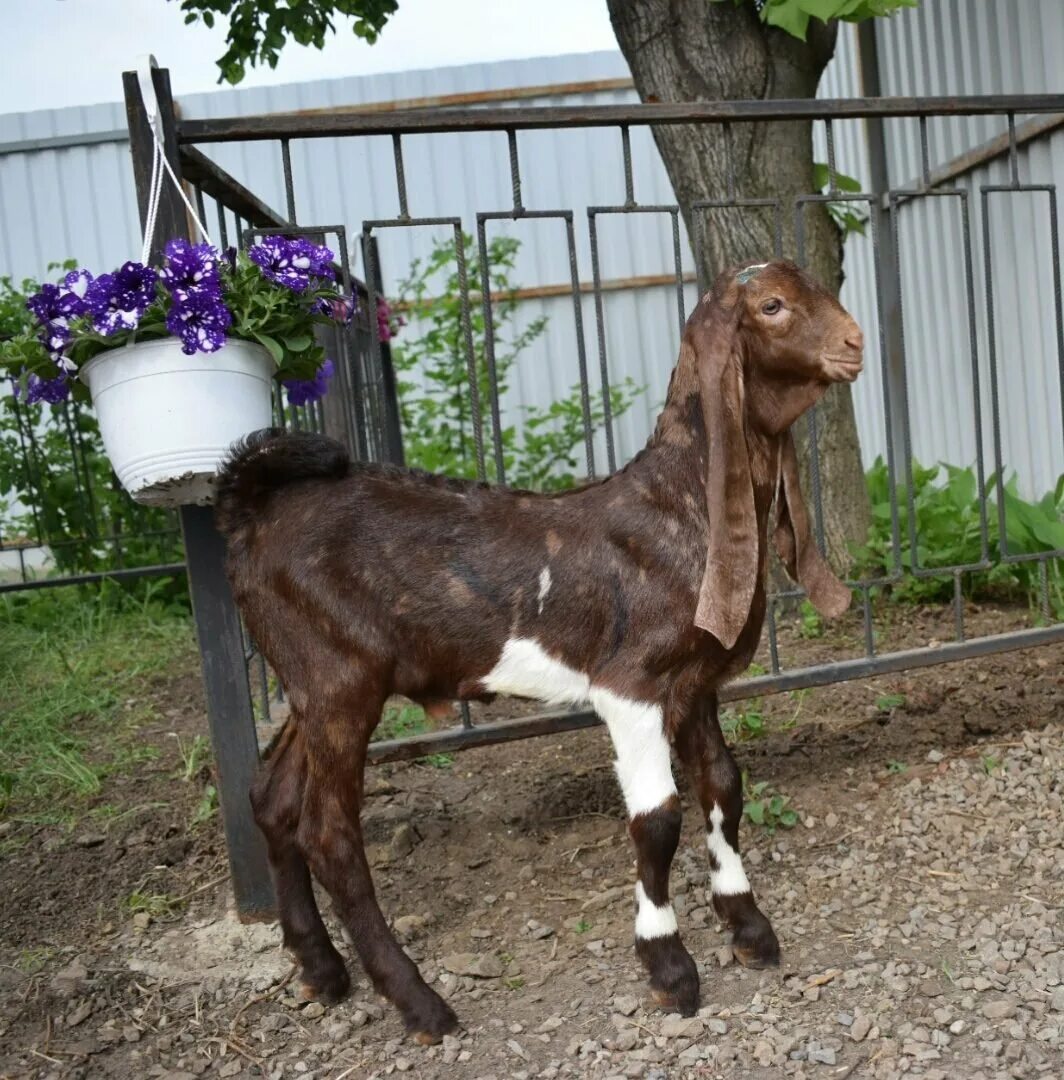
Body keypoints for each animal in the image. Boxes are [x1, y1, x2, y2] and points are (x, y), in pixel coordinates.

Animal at [213, 257, 864, 1041]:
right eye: (770, 306)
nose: (854, 343)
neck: (678, 505)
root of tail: (250, 512)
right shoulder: (630, 684)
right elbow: (657, 818)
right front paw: (668, 967)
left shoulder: (694, 682)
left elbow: (723, 788)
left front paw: (748, 927)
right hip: (339, 679)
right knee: (329, 834)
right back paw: (418, 1001)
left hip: (310, 682)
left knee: (272, 797)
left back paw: (321, 969)